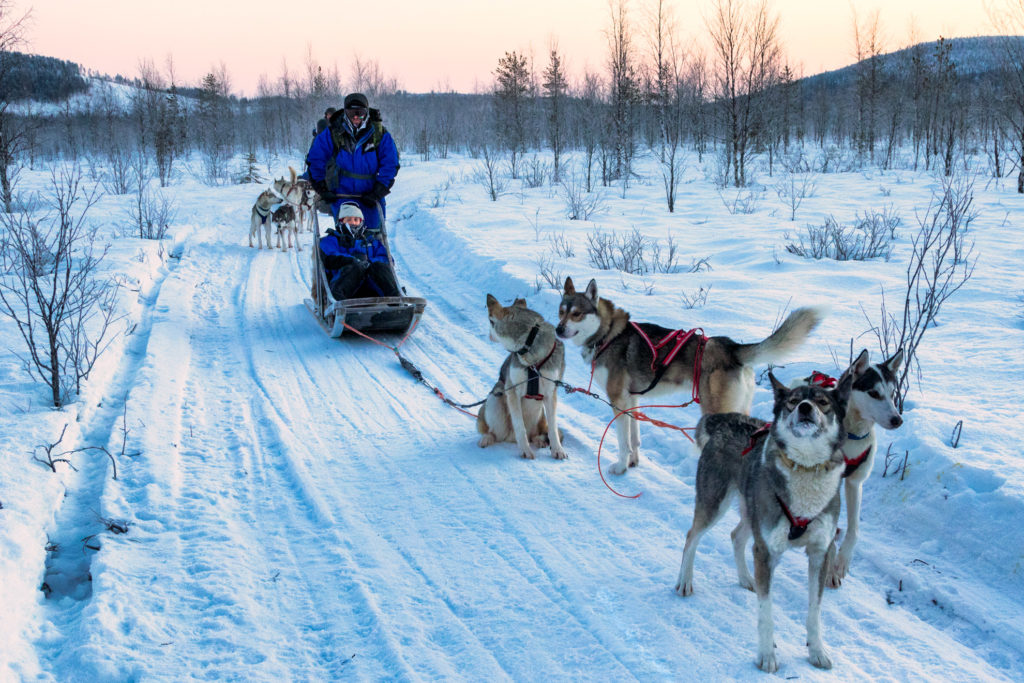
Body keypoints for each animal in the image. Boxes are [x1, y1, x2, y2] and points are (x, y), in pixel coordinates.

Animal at [477, 296, 569, 462]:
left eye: (490, 323)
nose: (489, 335)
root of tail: (510, 438)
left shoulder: (550, 393)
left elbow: (553, 429)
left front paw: (557, 450)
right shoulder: (512, 390)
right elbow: (520, 427)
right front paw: (525, 450)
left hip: (539, 414)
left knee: (537, 434)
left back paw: (539, 440)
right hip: (495, 397)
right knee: (495, 432)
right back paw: (488, 438)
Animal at [552, 278, 823, 475]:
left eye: (576, 313)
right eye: (561, 311)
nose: (558, 329)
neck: (608, 334)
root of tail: (731, 347)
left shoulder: (618, 401)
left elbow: (623, 443)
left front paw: (619, 467)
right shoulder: (632, 400)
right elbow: (635, 439)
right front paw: (633, 463)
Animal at [675, 370, 851, 671]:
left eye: (822, 401)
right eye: (793, 401)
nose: (805, 407)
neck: (805, 469)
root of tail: (725, 419)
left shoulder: (820, 553)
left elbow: (814, 611)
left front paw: (817, 651)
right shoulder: (767, 552)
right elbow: (765, 613)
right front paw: (767, 655)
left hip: (752, 513)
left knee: (736, 536)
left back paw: (746, 578)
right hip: (715, 504)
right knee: (692, 536)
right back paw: (685, 581)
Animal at [798, 350, 905, 585]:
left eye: (893, 393)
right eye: (873, 393)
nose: (897, 419)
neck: (852, 434)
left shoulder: (855, 483)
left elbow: (854, 529)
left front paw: (841, 562)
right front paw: (829, 566)